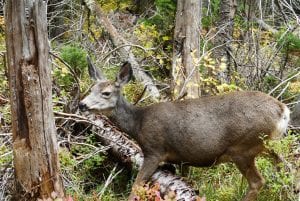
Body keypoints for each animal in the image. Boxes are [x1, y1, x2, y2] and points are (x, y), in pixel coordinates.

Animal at [78, 59, 290, 201]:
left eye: (106, 93)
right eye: (91, 89)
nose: (82, 104)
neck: (138, 124)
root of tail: (282, 109)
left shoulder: (154, 150)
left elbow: (136, 187)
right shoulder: (182, 159)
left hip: (243, 147)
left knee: (257, 181)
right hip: (263, 145)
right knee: (283, 164)